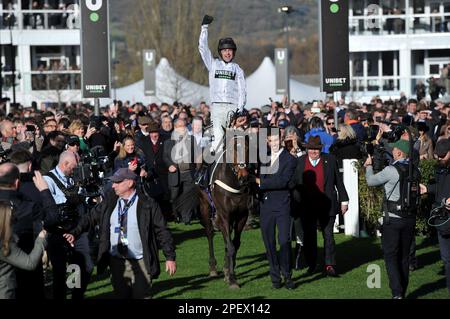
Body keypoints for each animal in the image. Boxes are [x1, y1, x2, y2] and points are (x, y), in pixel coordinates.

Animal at [198, 129, 251, 288]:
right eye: (232, 149)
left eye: (248, 148)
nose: (244, 177)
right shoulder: (224, 215)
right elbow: (230, 245)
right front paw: (232, 279)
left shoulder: (241, 215)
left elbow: (234, 244)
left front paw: (228, 272)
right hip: (204, 207)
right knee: (209, 233)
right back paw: (213, 267)